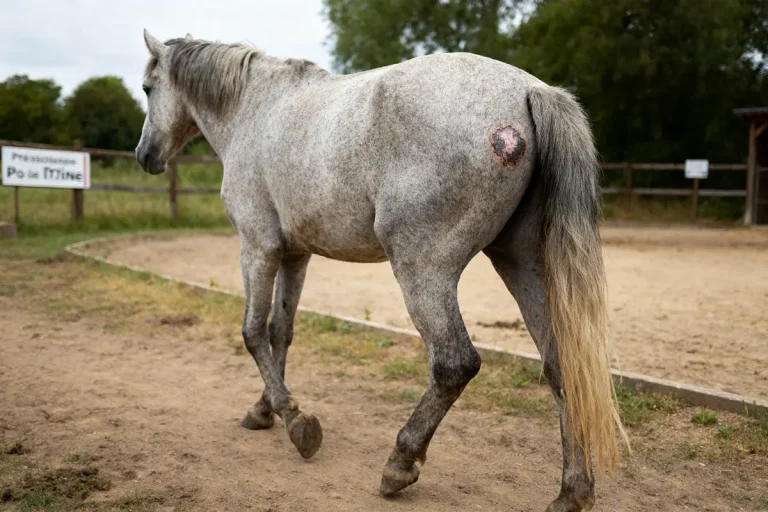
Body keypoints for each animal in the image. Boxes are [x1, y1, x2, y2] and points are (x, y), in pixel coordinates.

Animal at [135, 30, 626, 511]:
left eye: (146, 88)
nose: (144, 155)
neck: (255, 108)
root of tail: (529, 89)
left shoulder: (257, 248)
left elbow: (252, 332)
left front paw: (295, 421)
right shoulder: (295, 255)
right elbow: (280, 331)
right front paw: (265, 410)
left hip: (422, 270)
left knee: (454, 364)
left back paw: (399, 464)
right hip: (523, 265)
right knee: (563, 367)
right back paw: (572, 492)